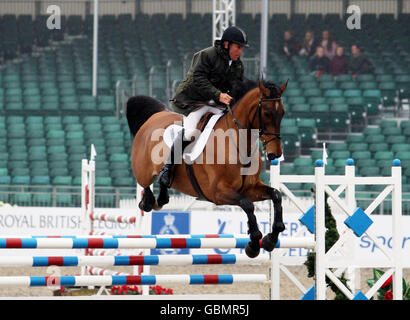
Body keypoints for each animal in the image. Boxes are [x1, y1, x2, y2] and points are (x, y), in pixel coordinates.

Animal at [125, 79, 288, 258]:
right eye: (267, 113)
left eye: (283, 113)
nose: (275, 154)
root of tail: (156, 115)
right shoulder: (218, 192)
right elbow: (247, 204)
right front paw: (253, 244)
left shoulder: (250, 188)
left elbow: (276, 195)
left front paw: (271, 238)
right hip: (143, 171)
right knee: (144, 184)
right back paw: (148, 201)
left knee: (162, 186)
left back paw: (162, 195)